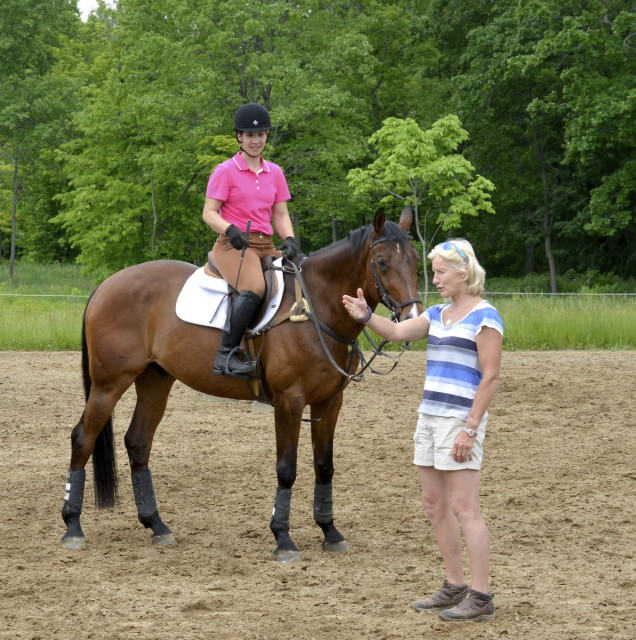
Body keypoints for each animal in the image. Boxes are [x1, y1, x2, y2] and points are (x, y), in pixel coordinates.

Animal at [60, 208, 422, 564]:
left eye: (417, 260)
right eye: (382, 262)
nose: (412, 318)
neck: (316, 309)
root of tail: (107, 284)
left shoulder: (330, 402)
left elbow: (324, 466)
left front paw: (330, 532)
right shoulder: (289, 401)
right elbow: (286, 468)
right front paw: (283, 537)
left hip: (154, 380)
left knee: (138, 442)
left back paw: (156, 525)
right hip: (109, 384)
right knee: (83, 438)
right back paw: (73, 526)